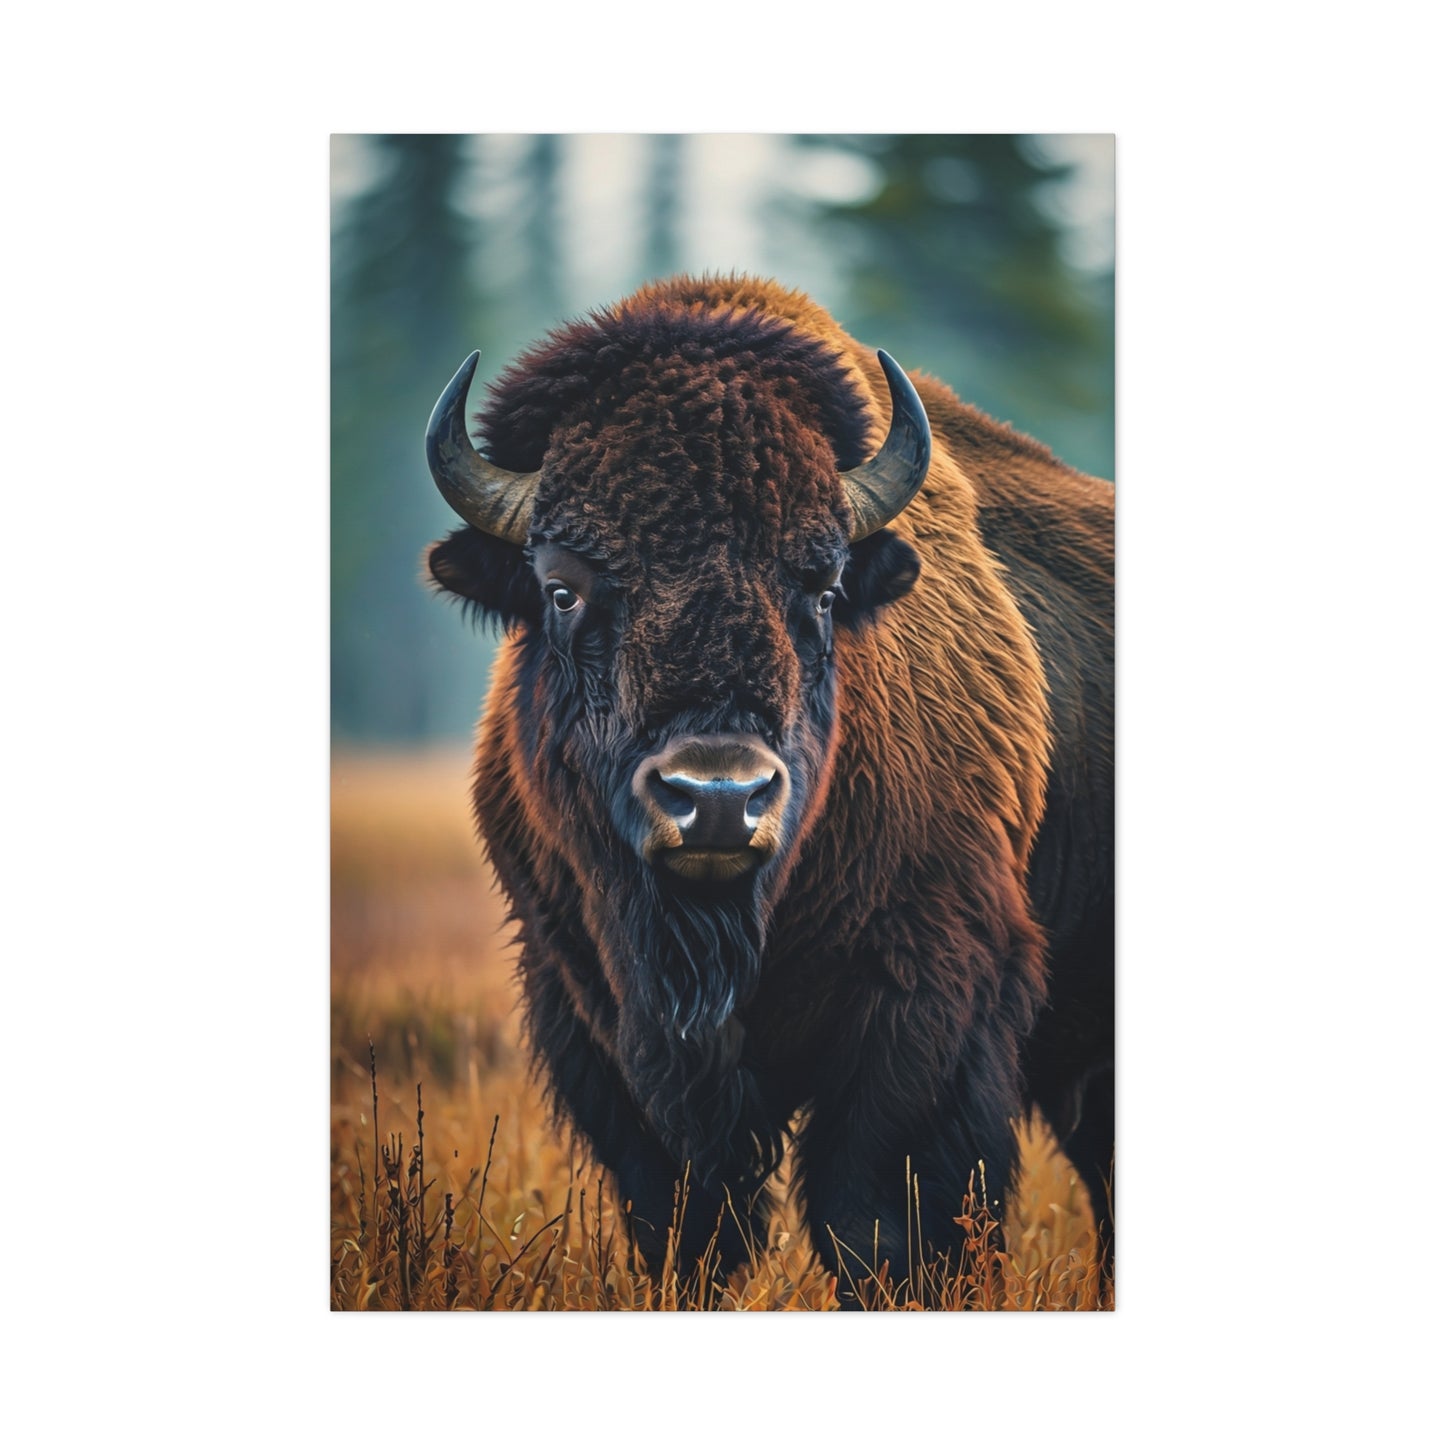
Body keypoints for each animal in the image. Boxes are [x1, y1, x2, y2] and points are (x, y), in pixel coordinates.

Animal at [425, 275, 1113, 1301]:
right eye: (561, 588)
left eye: (822, 588)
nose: (716, 797)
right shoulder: (588, 1010)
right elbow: (682, 1221)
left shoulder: (927, 1003)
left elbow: (880, 1224)